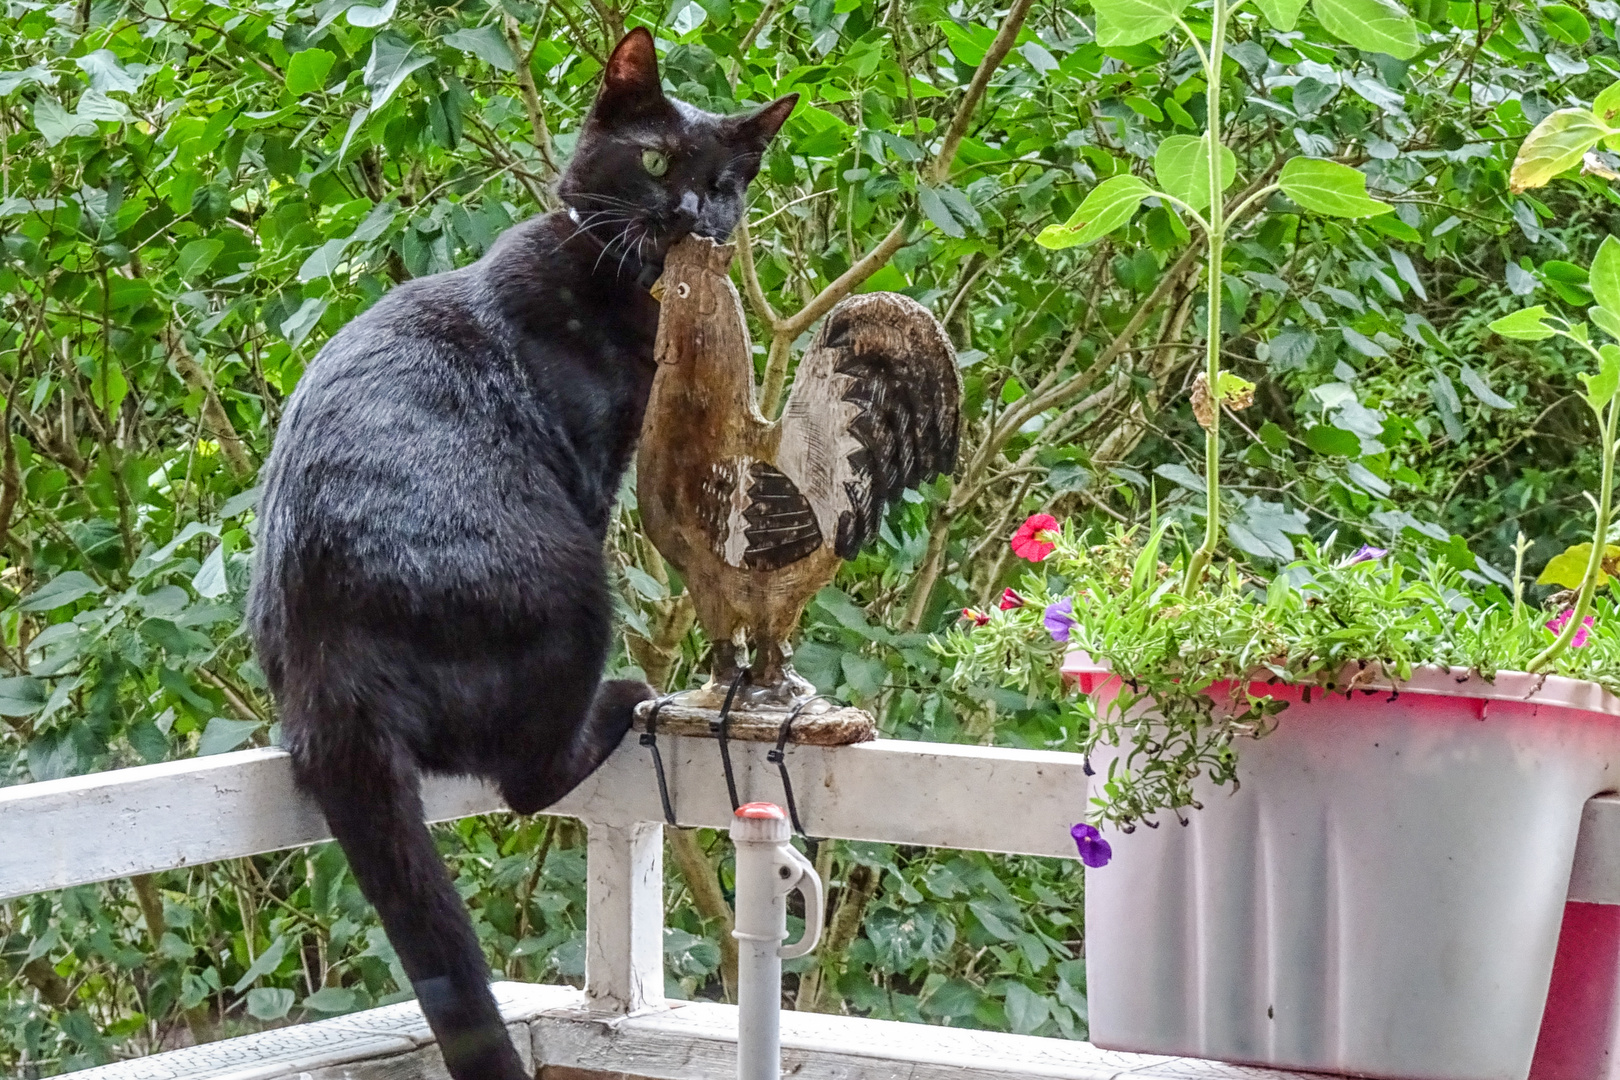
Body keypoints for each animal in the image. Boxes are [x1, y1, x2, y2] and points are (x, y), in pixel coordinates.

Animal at [246, 27, 797, 1080]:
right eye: (657, 163)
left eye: (725, 182)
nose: (692, 215)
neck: (620, 287)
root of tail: (329, 674)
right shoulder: (590, 468)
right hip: (575, 585)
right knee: (528, 779)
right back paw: (622, 697)